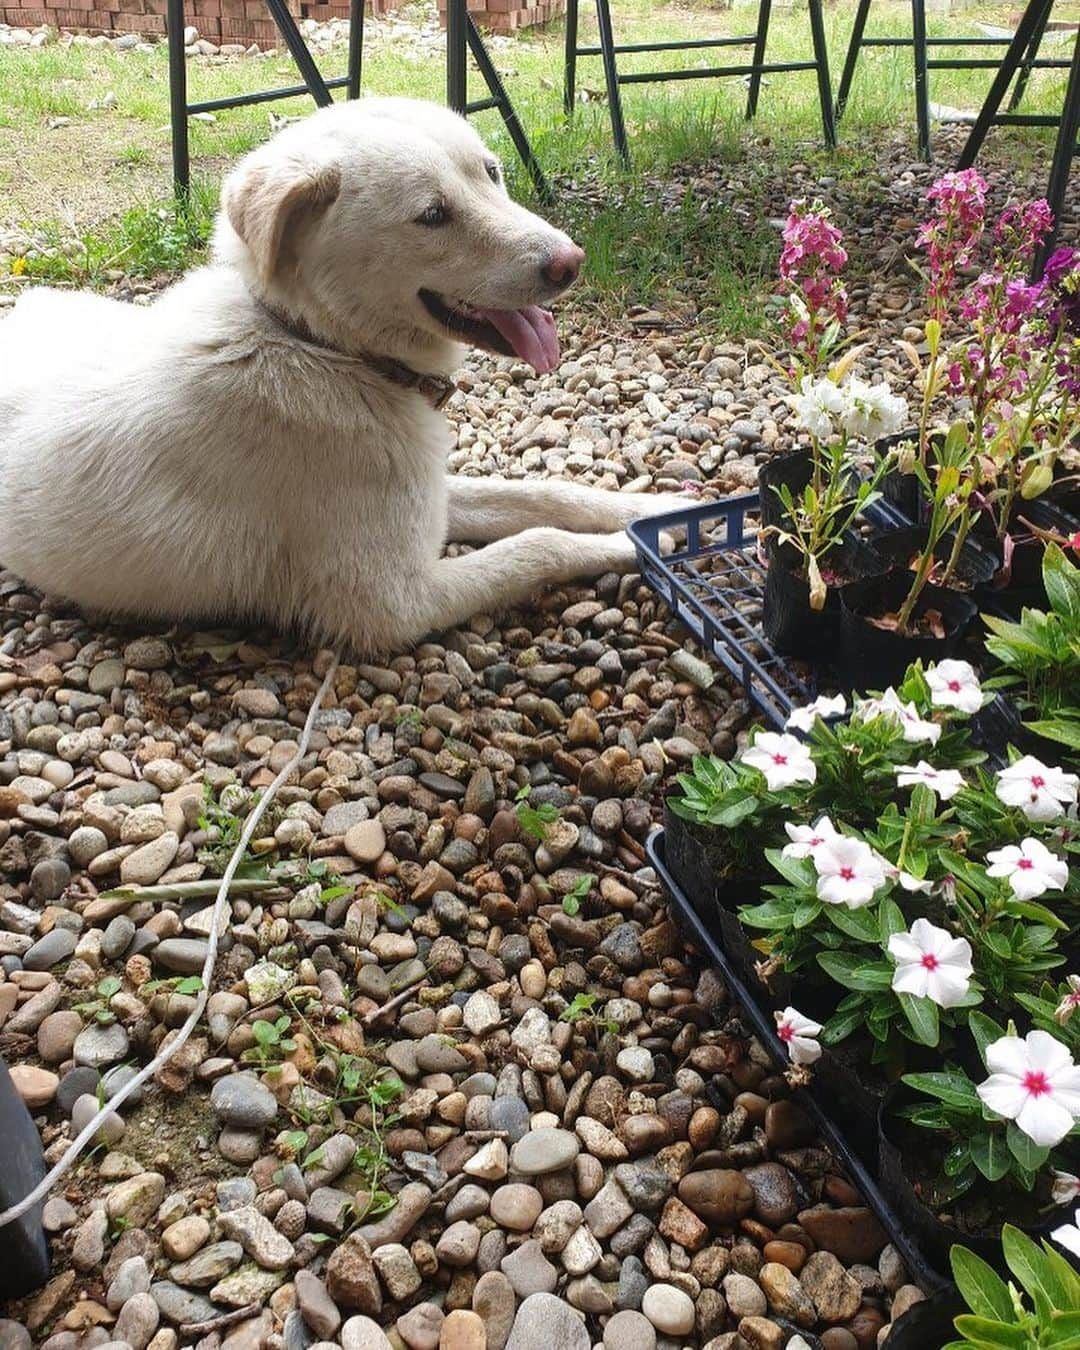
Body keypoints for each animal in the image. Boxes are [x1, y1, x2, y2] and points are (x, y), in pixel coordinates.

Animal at [0, 95, 688, 653]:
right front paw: (635, 547)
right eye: (432, 215)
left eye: (492, 173)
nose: (572, 262)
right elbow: (538, 543)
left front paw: (655, 507)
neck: (323, 347)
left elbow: (545, 495)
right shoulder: (394, 602)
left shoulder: (427, 498)